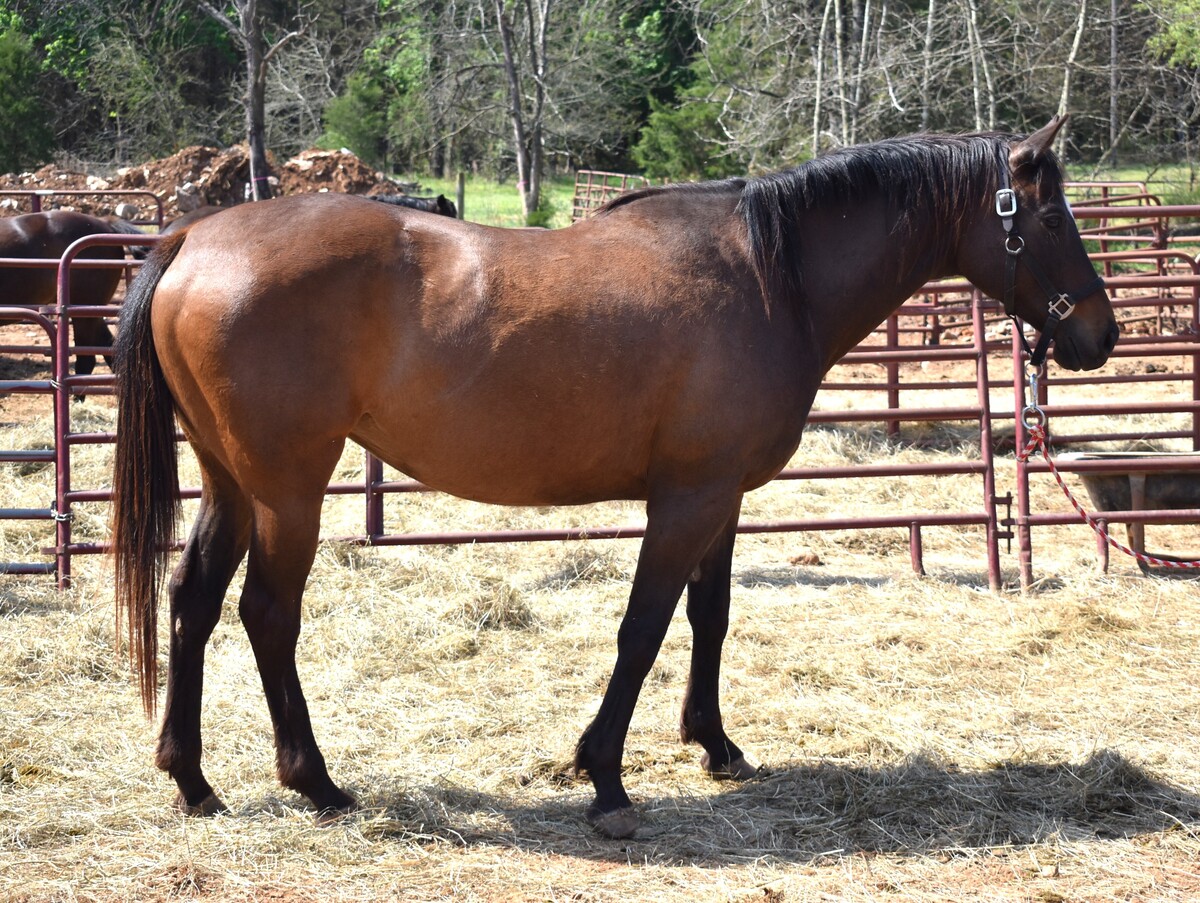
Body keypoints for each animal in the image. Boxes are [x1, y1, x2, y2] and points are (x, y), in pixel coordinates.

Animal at [110, 116, 1118, 839]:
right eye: (1052, 217)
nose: (1099, 336)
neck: (771, 276)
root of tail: (193, 237)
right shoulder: (685, 502)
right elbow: (643, 628)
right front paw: (605, 777)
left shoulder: (721, 497)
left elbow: (710, 617)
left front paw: (715, 744)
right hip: (289, 490)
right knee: (266, 614)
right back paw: (314, 781)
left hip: (230, 483)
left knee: (193, 601)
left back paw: (193, 781)